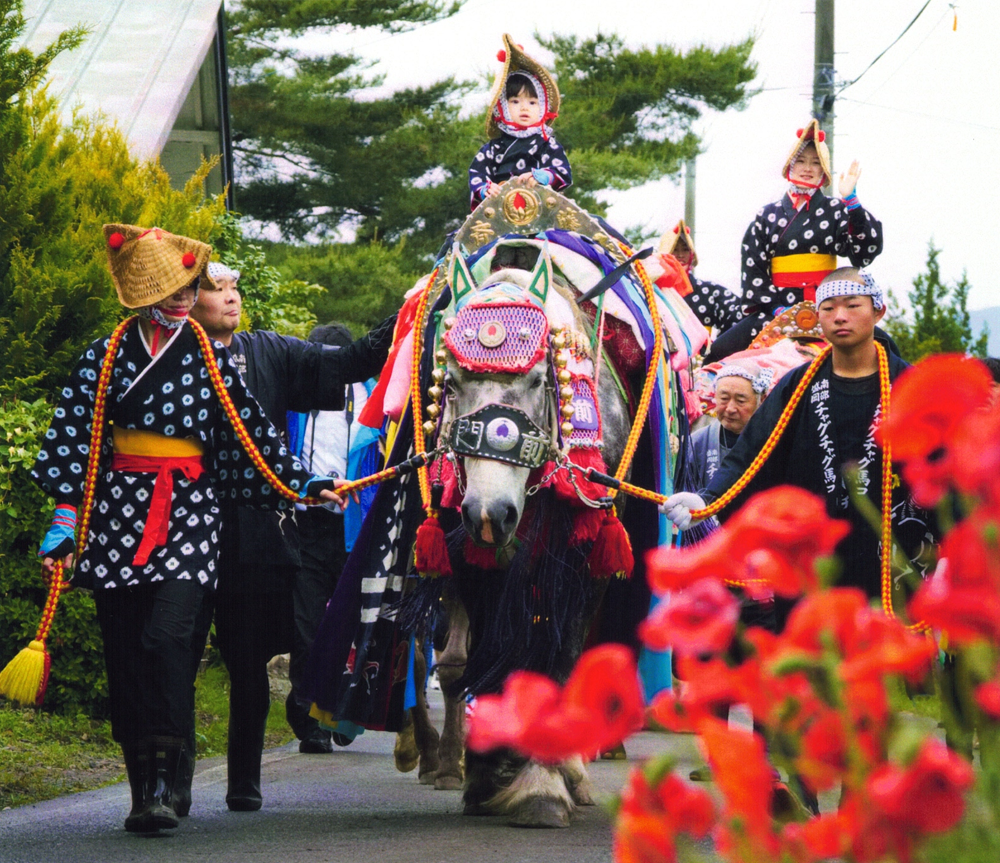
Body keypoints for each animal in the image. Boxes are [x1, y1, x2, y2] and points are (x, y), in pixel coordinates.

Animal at [300, 177, 708, 832]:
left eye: (541, 379)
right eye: (450, 382)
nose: (492, 513)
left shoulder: (576, 555)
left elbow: (553, 657)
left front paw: (540, 783)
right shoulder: (467, 553)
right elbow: (479, 658)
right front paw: (488, 773)